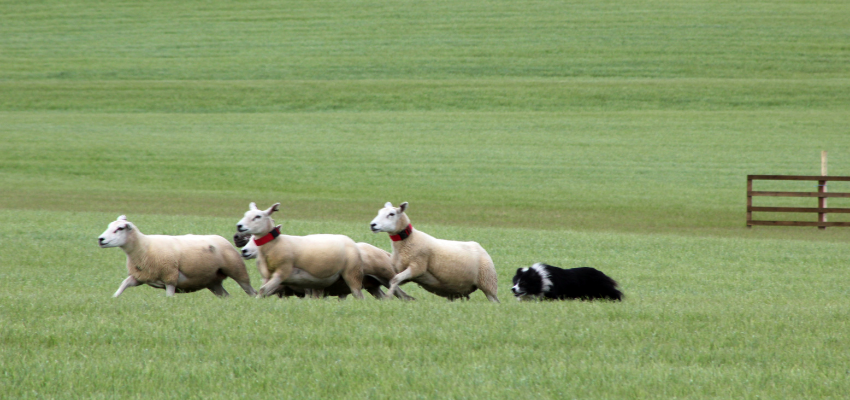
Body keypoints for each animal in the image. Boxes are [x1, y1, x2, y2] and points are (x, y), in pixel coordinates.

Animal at [97, 216, 255, 296]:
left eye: (119, 228)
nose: (100, 239)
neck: (144, 247)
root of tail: (222, 238)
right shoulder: (140, 276)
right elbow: (123, 284)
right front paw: (114, 298)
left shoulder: (170, 277)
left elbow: (169, 296)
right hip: (212, 281)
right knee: (225, 295)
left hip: (237, 270)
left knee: (250, 291)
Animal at [235, 202, 364, 298]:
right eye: (245, 214)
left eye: (258, 216)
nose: (239, 226)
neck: (274, 245)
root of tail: (349, 240)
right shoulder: (266, 275)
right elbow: (264, 290)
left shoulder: (282, 271)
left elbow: (263, 290)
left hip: (352, 272)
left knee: (358, 294)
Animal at [366, 202, 496, 302]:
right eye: (379, 212)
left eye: (391, 214)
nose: (372, 225)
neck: (408, 241)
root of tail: (479, 246)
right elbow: (394, 280)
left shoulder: (417, 266)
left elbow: (395, 279)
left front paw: (388, 297)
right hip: (457, 289)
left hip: (488, 283)